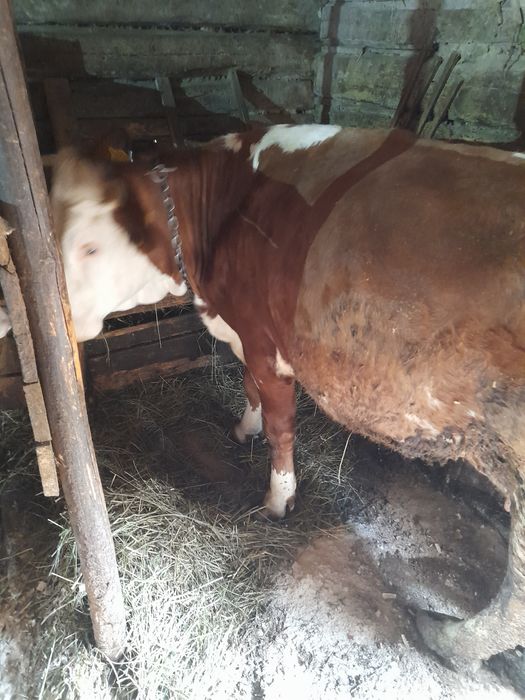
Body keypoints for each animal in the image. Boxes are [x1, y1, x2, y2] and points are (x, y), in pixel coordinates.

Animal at [50, 124, 525, 666]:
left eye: (88, 247)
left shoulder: (266, 345)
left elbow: (281, 426)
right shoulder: (243, 333)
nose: (21, 314)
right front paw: (244, 427)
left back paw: (450, 639)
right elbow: (247, 386)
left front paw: (279, 497)